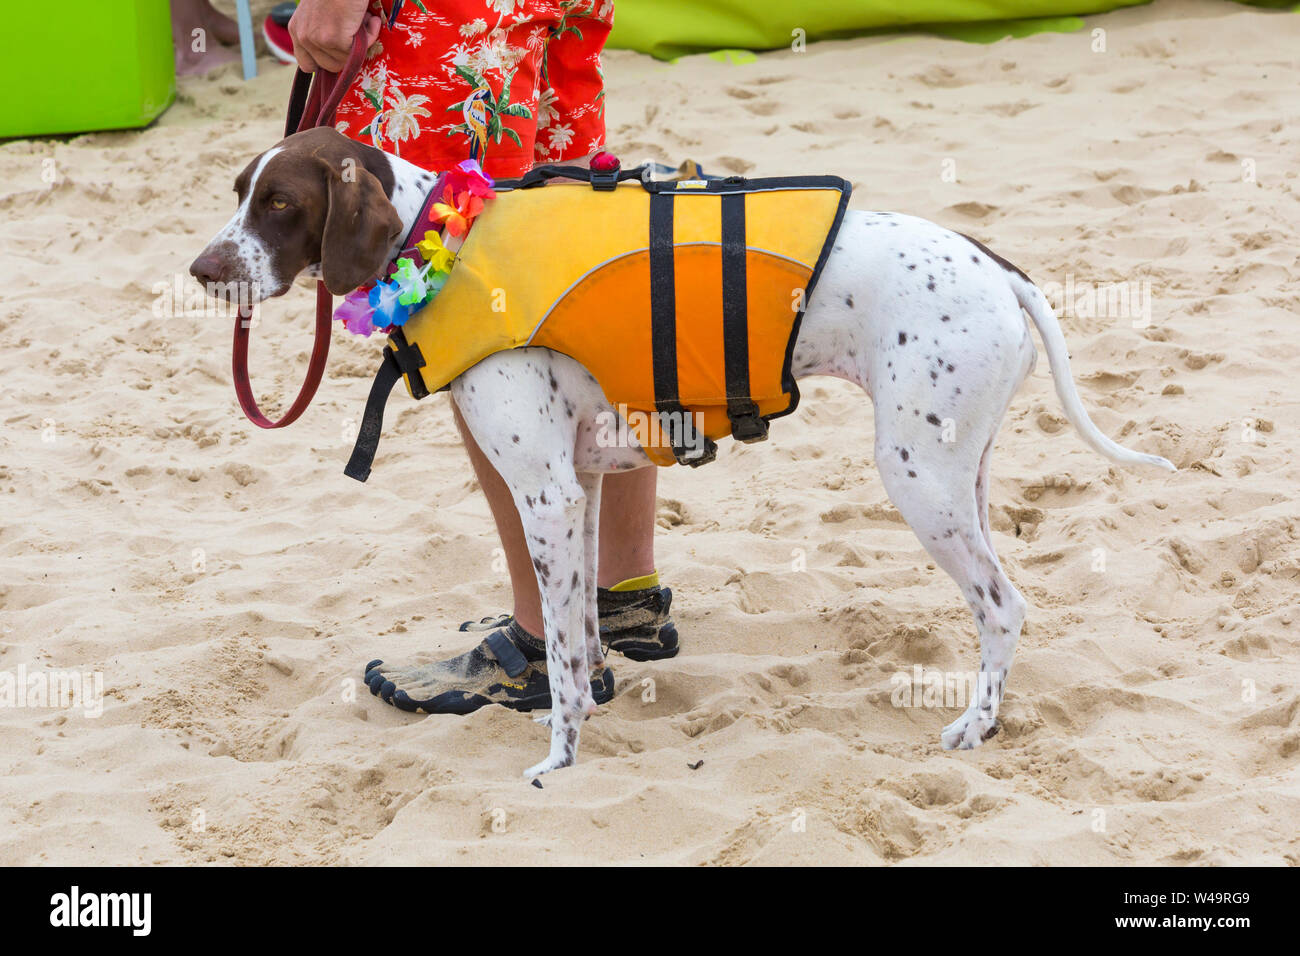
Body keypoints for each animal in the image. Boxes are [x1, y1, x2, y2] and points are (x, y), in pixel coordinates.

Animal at [192, 128, 1180, 780]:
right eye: (239, 191)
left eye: (280, 203)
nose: (204, 270)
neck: (442, 241)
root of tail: (992, 263)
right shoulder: (582, 486)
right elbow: (581, 634)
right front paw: (588, 708)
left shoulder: (544, 493)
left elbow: (560, 656)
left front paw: (559, 760)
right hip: (958, 473)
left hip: (918, 481)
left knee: (1004, 607)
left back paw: (973, 729)